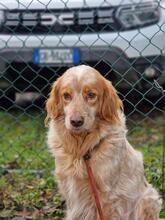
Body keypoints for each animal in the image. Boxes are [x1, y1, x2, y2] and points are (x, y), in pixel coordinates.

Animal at [45, 65, 162, 220]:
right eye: (66, 96)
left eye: (91, 95)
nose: (76, 122)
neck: (82, 149)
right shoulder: (71, 194)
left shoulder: (107, 196)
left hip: (148, 199)